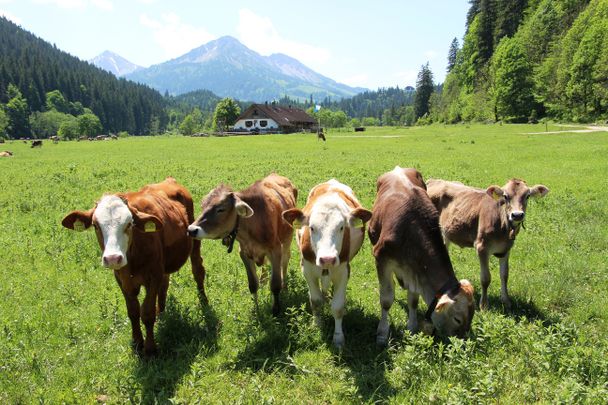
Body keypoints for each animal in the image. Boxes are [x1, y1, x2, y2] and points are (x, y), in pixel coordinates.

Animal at [62, 177, 208, 354]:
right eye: (96, 225)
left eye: (129, 224)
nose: (113, 258)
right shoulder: (122, 279)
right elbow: (133, 311)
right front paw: (138, 342)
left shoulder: (153, 276)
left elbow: (147, 312)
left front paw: (150, 349)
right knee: (165, 283)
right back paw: (162, 312)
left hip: (195, 241)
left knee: (198, 270)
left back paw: (204, 302)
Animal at [188, 174, 296, 316]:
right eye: (202, 206)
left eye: (220, 209)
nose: (191, 229)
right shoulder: (244, 252)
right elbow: (253, 285)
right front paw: (256, 310)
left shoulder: (275, 249)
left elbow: (275, 285)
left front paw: (275, 311)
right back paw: (263, 279)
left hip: (287, 239)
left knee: (285, 259)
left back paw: (285, 284)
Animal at [366, 166, 476, 342]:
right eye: (457, 319)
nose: (462, 342)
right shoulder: (382, 259)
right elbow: (386, 299)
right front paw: (382, 333)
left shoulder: (415, 270)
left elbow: (413, 300)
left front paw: (412, 328)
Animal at [428, 178, 552, 310]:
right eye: (505, 196)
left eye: (527, 196)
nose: (517, 215)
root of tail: (433, 180)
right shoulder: (481, 247)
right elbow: (485, 278)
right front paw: (484, 305)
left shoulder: (506, 249)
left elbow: (504, 275)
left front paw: (506, 301)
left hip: (445, 234)